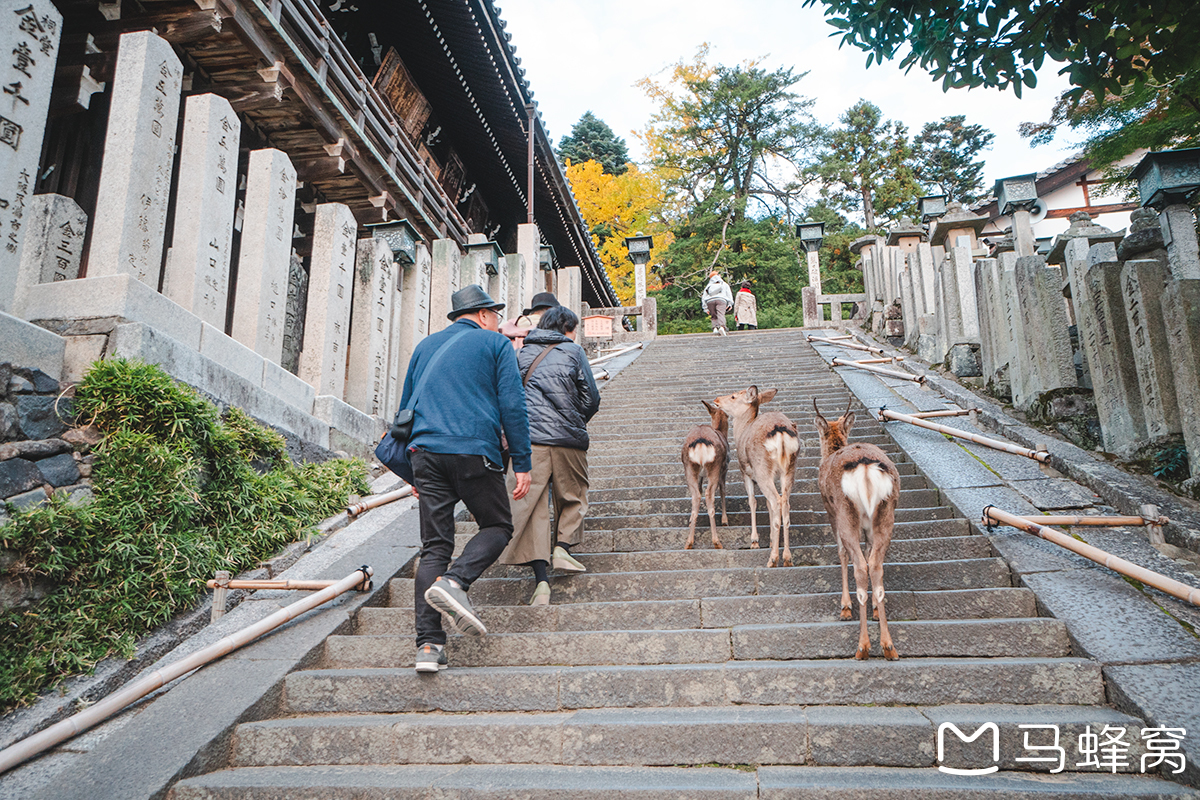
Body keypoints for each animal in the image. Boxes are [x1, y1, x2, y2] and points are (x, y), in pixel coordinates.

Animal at [686, 400, 729, 551]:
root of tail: (700, 442)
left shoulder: (700, 476)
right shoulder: (724, 469)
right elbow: (723, 491)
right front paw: (725, 520)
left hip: (689, 468)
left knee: (696, 495)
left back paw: (689, 542)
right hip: (715, 467)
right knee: (709, 494)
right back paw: (717, 542)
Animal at [710, 383, 796, 566]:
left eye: (734, 396)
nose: (717, 399)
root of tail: (781, 432)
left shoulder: (746, 473)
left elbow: (753, 502)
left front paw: (755, 541)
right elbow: (768, 505)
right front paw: (770, 541)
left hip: (762, 468)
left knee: (777, 501)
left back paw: (773, 559)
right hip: (789, 470)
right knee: (784, 503)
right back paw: (787, 558)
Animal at [816, 398, 902, 662]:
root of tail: (865, 469)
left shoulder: (831, 512)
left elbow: (842, 553)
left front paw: (844, 608)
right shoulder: (868, 529)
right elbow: (868, 552)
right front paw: (874, 610)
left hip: (847, 514)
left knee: (860, 567)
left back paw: (863, 647)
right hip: (885, 515)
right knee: (874, 564)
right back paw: (889, 646)